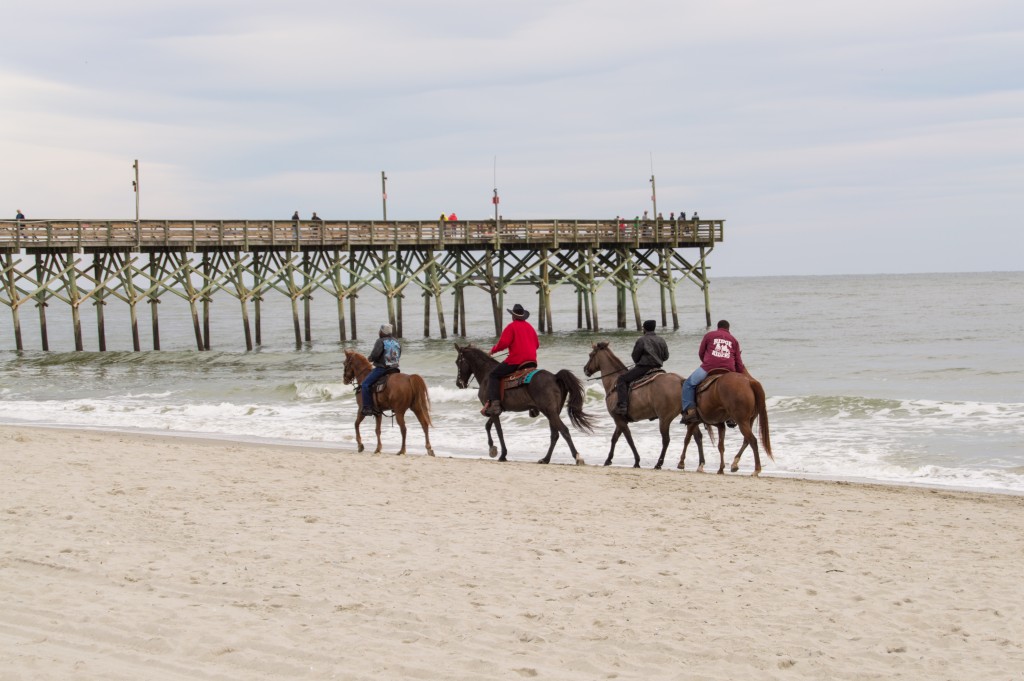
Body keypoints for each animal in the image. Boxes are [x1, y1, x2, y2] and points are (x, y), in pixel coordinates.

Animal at [454, 342, 598, 464]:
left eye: (457, 362)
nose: (458, 383)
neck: (486, 374)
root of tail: (555, 376)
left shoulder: (493, 411)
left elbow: (499, 431)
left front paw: (502, 454)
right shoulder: (496, 410)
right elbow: (488, 426)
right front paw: (492, 448)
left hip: (549, 411)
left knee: (563, 431)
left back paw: (577, 457)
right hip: (553, 412)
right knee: (555, 434)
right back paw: (545, 459)